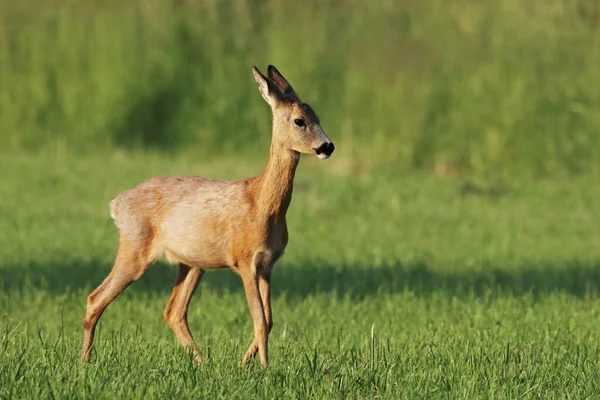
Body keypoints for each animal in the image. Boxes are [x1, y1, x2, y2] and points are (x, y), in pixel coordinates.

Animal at [80, 65, 336, 366]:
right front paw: (264, 367)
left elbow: (270, 320)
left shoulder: (267, 265)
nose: (327, 146)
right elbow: (260, 320)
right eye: (299, 121)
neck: (263, 204)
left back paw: (201, 364)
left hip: (192, 263)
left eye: (318, 117)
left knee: (173, 311)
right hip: (135, 246)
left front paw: (244, 363)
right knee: (96, 298)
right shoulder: (245, 260)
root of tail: (116, 204)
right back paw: (85, 361)